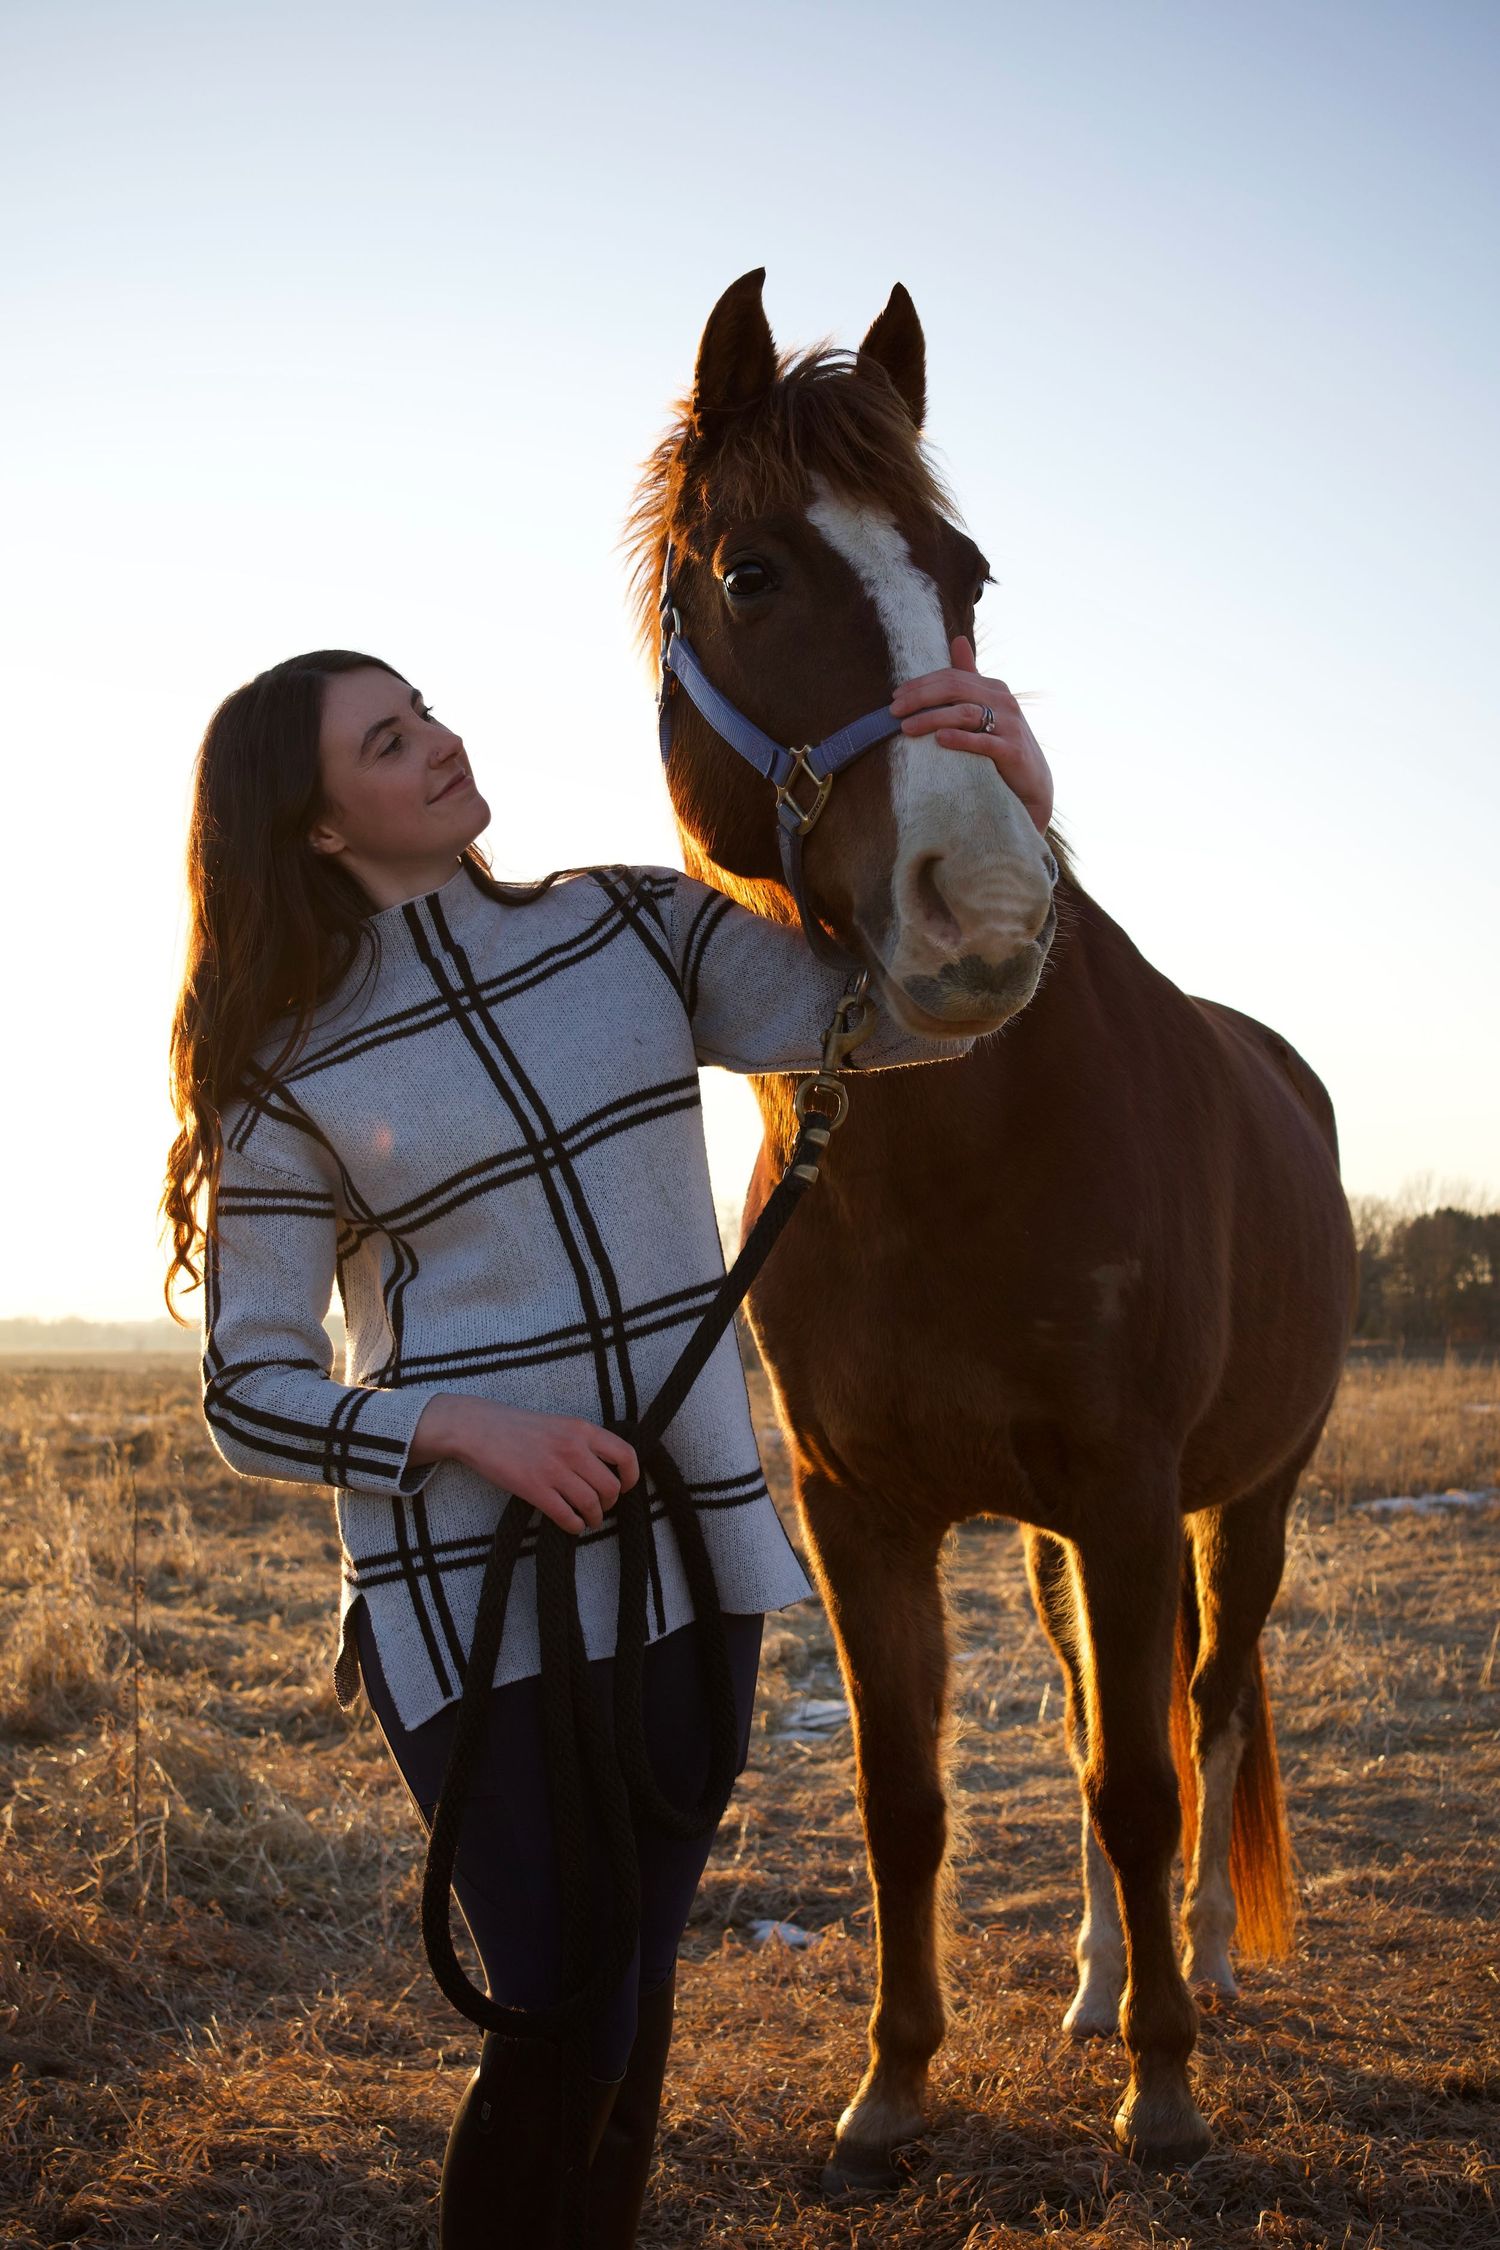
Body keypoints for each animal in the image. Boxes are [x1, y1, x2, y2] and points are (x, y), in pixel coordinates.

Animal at [628, 268, 1355, 2184]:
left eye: (966, 579)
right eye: (755, 574)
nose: (987, 918)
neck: (939, 1155)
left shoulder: (1130, 1486)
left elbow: (1140, 1778)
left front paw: (1164, 2092)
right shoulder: (863, 1512)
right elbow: (911, 1796)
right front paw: (892, 2087)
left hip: (1244, 1503)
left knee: (1203, 1704)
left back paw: (1189, 1975)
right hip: (1051, 1540)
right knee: (1117, 1698)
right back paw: (1102, 1982)